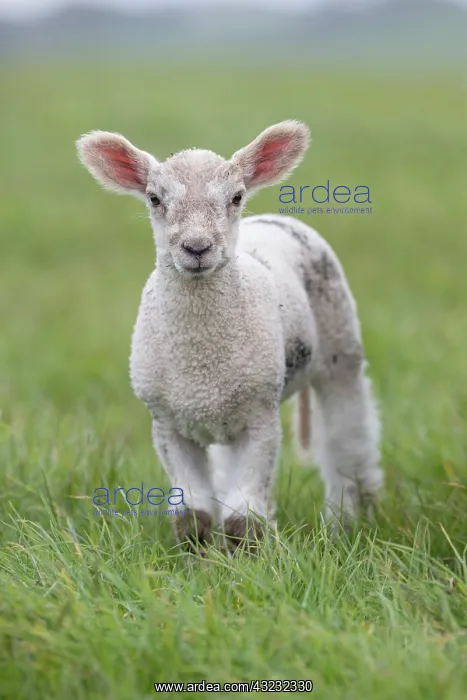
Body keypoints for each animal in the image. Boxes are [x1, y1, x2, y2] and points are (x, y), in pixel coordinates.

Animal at [76, 121, 383, 550]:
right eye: (154, 198)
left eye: (236, 197)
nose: (197, 247)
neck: (201, 361)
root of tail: (272, 217)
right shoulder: (167, 423)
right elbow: (193, 515)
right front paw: (196, 560)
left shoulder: (260, 417)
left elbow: (242, 518)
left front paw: (246, 559)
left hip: (339, 341)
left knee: (348, 433)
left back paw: (348, 518)